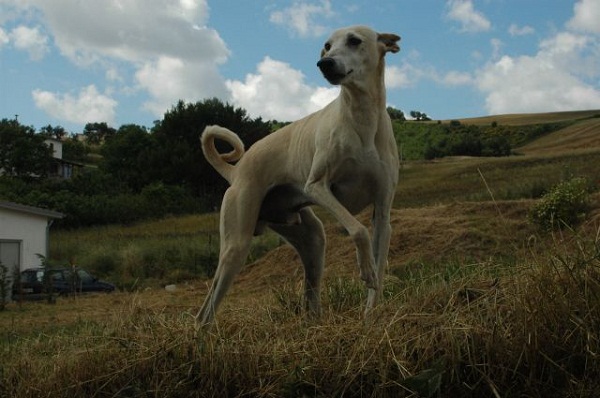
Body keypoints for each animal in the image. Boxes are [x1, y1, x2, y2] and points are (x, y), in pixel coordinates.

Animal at [197, 26, 400, 328]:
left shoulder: (383, 210)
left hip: (313, 240)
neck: (361, 118)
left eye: (354, 40)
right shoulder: (317, 187)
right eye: (326, 46)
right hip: (235, 245)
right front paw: (365, 270)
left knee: (311, 300)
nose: (324, 63)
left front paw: (370, 315)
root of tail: (235, 171)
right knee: (205, 311)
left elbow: (378, 261)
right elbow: (358, 229)